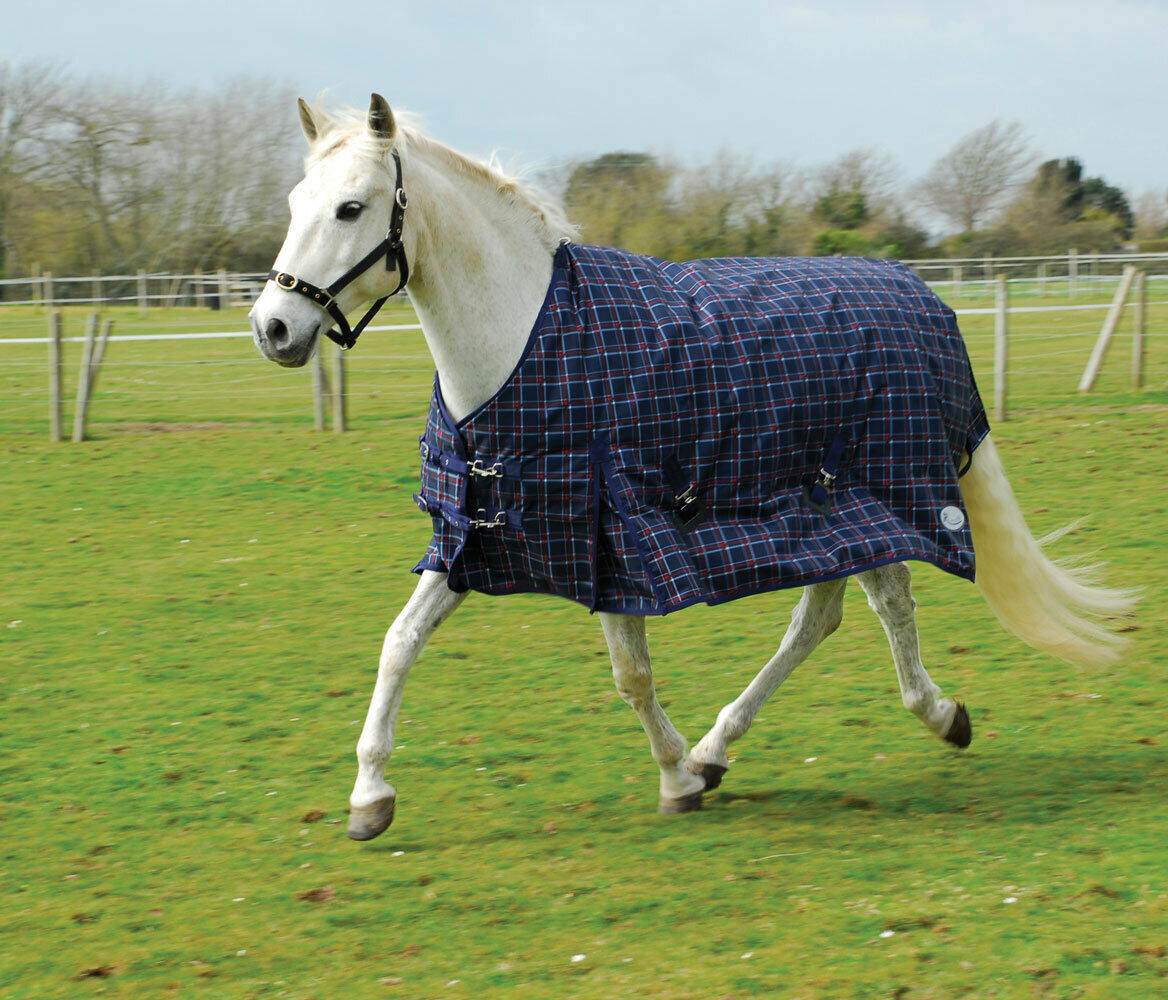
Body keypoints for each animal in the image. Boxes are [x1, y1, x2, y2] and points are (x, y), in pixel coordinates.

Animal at [249, 94, 1136, 843]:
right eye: (294, 205)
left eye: (352, 208)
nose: (273, 327)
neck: (522, 343)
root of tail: (921, 295)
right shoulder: (482, 534)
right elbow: (399, 642)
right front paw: (369, 798)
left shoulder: (613, 538)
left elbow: (631, 675)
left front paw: (674, 777)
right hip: (833, 513)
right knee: (822, 618)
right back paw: (724, 747)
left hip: (873, 496)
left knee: (888, 610)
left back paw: (934, 716)